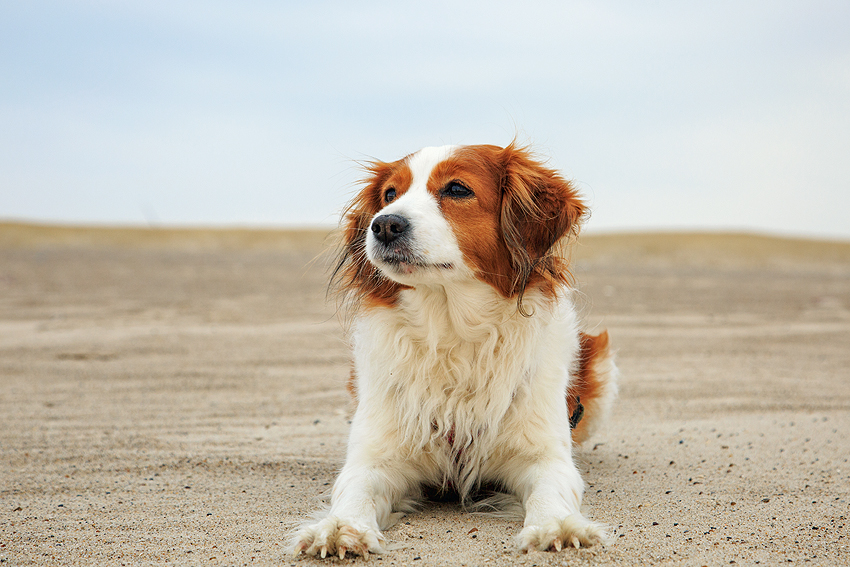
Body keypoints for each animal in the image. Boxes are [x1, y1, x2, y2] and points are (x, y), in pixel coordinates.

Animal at [292, 142, 616, 560]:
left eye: (458, 189)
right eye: (390, 195)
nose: (383, 224)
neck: (452, 335)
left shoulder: (544, 455)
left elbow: (551, 490)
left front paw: (556, 524)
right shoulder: (375, 458)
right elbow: (354, 490)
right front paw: (340, 527)